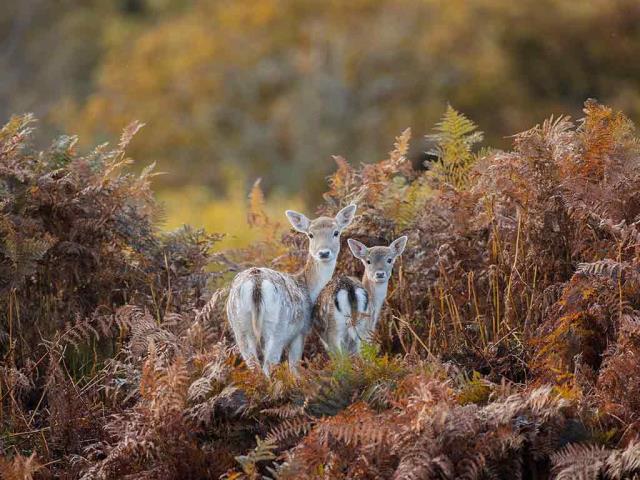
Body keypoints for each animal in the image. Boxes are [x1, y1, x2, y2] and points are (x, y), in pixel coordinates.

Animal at [226, 204, 357, 376]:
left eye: (336, 232)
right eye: (310, 235)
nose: (323, 253)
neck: (308, 288)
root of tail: (256, 283)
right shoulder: (301, 331)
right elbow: (294, 367)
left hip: (239, 325)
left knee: (254, 365)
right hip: (277, 327)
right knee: (268, 365)